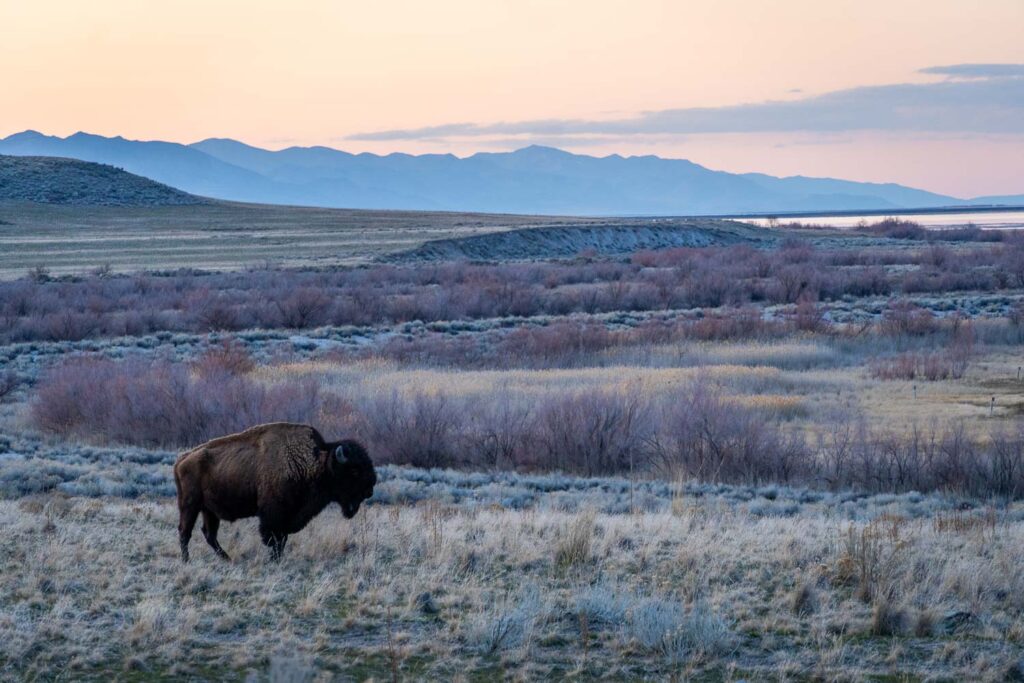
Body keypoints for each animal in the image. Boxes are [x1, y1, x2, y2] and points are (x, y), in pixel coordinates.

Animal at [172, 421, 376, 561]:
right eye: (354, 470)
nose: (370, 489)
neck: (314, 461)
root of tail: (182, 459)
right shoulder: (273, 515)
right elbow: (274, 539)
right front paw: (274, 560)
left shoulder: (286, 518)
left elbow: (282, 539)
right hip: (190, 505)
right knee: (185, 531)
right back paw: (187, 561)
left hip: (209, 510)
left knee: (209, 534)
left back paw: (227, 559)